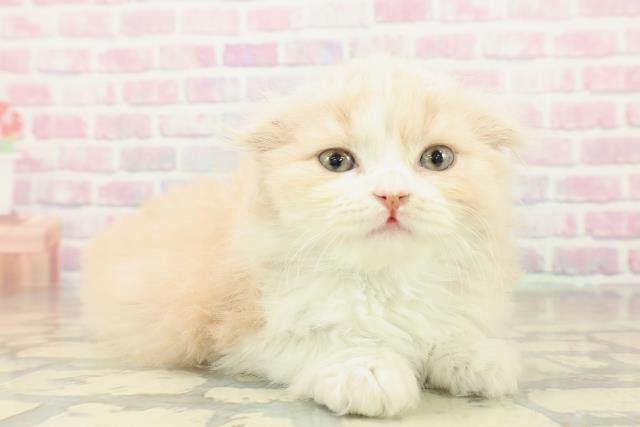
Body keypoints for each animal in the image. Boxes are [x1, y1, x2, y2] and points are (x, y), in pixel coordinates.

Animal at [84, 57, 523, 418]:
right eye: (336, 161)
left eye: (437, 158)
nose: (392, 194)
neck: (384, 280)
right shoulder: (240, 329)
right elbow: (321, 339)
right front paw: (365, 367)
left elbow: (449, 329)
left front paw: (476, 354)